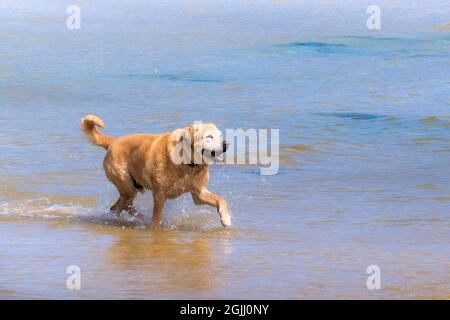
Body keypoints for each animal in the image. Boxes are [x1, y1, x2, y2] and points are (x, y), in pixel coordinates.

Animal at [80, 115, 232, 228]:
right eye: (209, 137)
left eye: (220, 135)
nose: (226, 144)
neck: (187, 162)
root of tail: (113, 141)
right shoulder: (159, 195)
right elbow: (157, 217)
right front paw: (155, 228)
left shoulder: (199, 194)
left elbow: (221, 199)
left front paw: (226, 219)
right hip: (127, 185)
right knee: (122, 204)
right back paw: (139, 218)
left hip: (131, 188)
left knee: (119, 206)